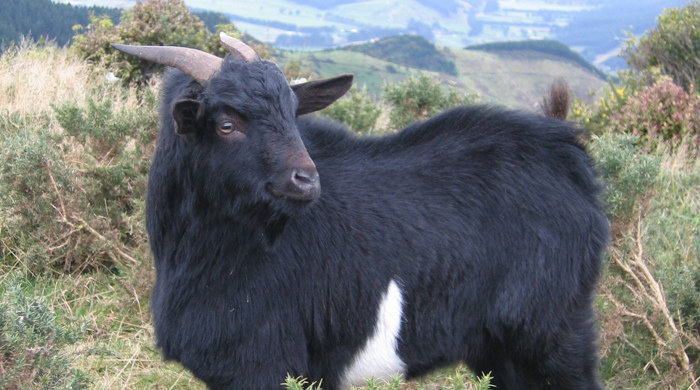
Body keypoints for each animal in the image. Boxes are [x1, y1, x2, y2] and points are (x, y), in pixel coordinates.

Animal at [113, 34, 608, 390]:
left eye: (293, 113)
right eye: (226, 124)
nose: (306, 180)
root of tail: (565, 149)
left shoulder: (265, 362)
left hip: (552, 330)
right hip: (499, 347)